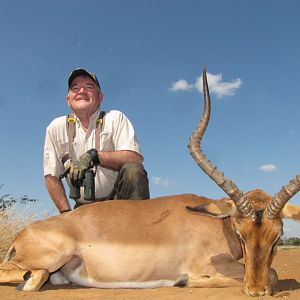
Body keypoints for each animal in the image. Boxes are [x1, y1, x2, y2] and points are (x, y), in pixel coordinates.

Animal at [0, 67, 300, 296]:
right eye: (241, 234)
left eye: (277, 236)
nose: (256, 291)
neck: (218, 225)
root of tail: (21, 235)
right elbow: (273, 273)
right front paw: (184, 280)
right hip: (50, 259)